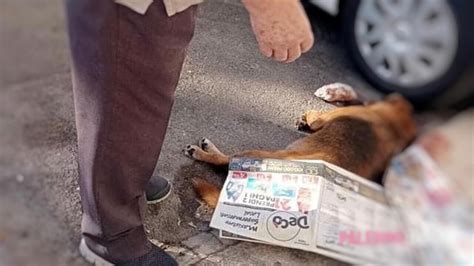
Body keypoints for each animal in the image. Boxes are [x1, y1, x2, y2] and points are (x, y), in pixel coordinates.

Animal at [183, 85, 416, 208]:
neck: (395, 124)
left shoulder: (323, 119)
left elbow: (314, 116)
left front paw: (306, 116)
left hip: (255, 154)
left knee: (222, 161)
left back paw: (203, 151)